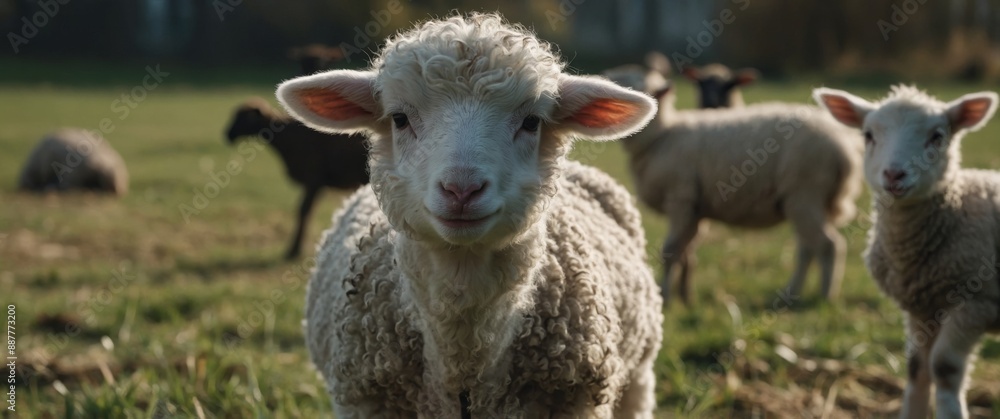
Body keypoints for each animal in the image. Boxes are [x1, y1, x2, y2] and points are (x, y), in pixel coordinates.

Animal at [224, 98, 369, 259]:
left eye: (247, 117)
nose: (228, 134)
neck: (287, 137)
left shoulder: (313, 179)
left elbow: (304, 211)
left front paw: (294, 251)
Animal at [601, 66, 863, 305]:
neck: (661, 135)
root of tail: (844, 147)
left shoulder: (680, 198)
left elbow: (671, 251)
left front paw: (665, 297)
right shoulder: (696, 209)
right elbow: (687, 252)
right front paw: (686, 297)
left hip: (805, 192)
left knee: (828, 245)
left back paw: (826, 296)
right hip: (810, 199)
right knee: (807, 247)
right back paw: (792, 293)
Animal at [813, 85, 1000, 419]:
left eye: (937, 136)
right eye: (868, 135)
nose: (893, 175)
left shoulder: (976, 304)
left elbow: (943, 368)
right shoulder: (920, 309)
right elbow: (917, 369)